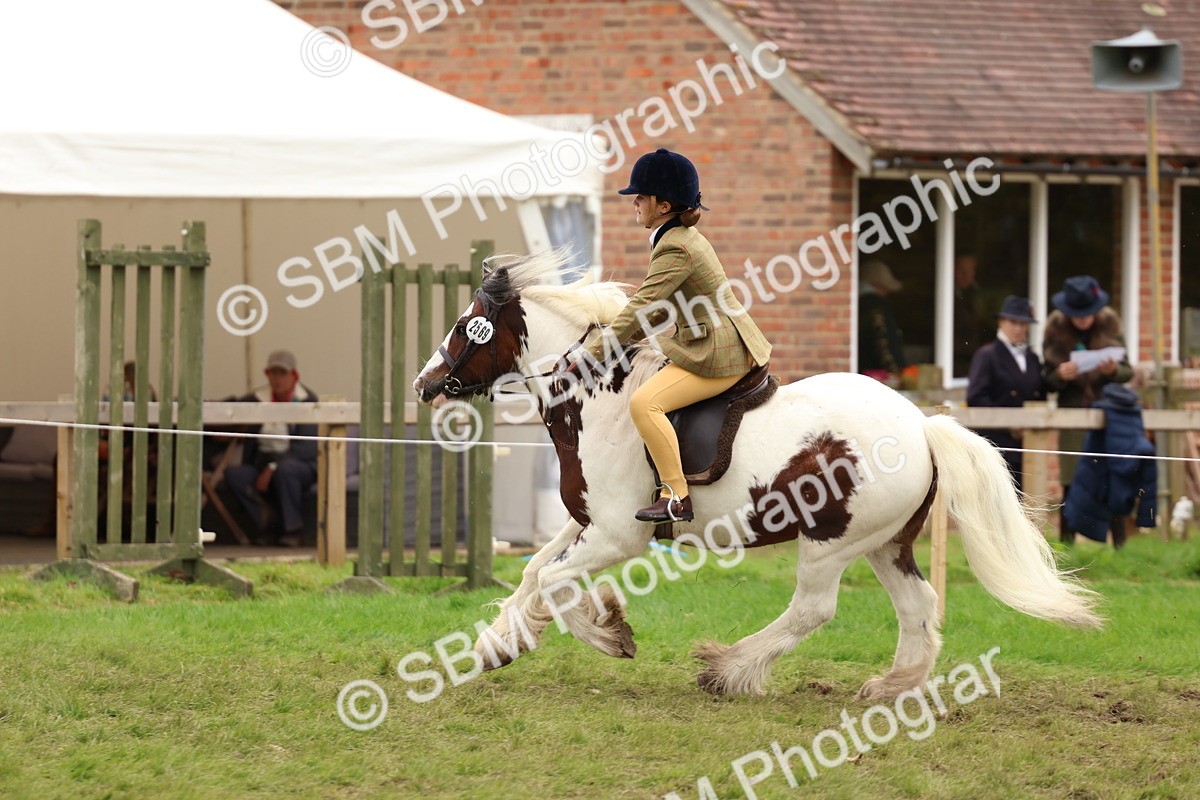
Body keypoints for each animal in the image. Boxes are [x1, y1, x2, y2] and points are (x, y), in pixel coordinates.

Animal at [413, 250, 1101, 700]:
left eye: (466, 327)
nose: (425, 384)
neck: (596, 393)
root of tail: (922, 427)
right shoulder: (587, 523)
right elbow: (535, 571)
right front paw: (499, 644)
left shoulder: (618, 535)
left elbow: (554, 580)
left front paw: (606, 633)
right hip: (884, 544)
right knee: (918, 605)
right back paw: (891, 685)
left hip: (832, 542)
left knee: (814, 609)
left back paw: (728, 669)